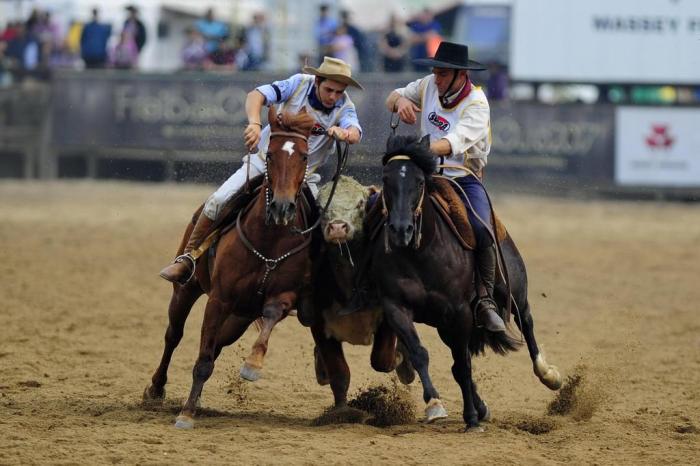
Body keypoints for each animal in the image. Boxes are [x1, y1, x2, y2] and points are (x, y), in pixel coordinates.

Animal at [143, 106, 318, 430]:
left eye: (303, 156)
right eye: (270, 154)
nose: (282, 207)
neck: (270, 240)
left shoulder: (280, 297)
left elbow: (269, 317)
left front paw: (252, 365)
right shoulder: (219, 299)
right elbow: (201, 360)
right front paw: (186, 414)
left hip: (239, 317)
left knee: (215, 346)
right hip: (187, 290)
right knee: (174, 335)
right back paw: (156, 389)